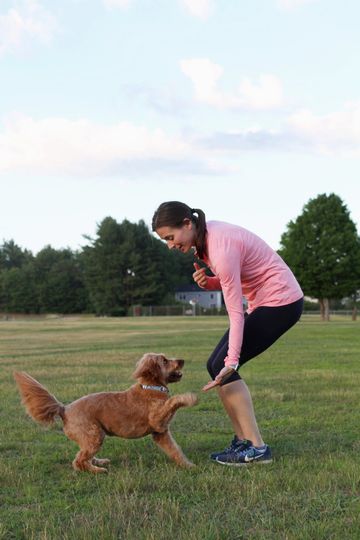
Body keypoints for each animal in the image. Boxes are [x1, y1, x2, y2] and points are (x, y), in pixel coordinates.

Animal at [14, 352, 198, 470]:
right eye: (165, 361)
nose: (182, 360)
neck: (150, 387)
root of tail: (64, 408)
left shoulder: (161, 433)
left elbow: (175, 451)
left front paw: (188, 465)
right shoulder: (157, 419)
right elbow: (173, 401)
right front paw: (189, 398)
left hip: (90, 436)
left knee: (83, 454)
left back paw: (99, 462)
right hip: (95, 434)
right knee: (79, 461)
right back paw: (97, 470)